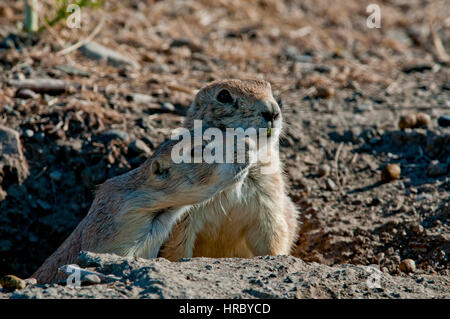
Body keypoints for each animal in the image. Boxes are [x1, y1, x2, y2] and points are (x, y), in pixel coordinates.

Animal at [160, 79, 300, 262]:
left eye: (268, 87)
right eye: (224, 95)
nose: (272, 112)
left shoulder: (269, 197)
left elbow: (273, 236)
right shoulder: (184, 217)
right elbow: (178, 245)